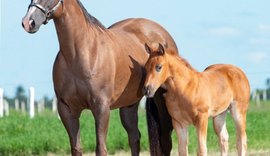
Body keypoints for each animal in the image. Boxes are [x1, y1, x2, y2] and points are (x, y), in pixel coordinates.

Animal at [22, 0, 175, 156]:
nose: (29, 22)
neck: (81, 54)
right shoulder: (66, 109)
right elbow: (76, 148)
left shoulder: (101, 108)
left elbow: (101, 148)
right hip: (129, 105)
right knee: (134, 137)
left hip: (161, 101)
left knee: (166, 139)